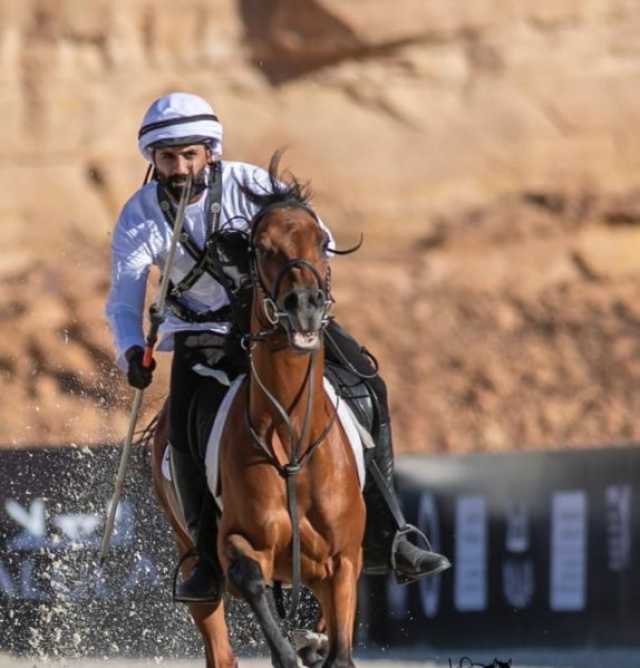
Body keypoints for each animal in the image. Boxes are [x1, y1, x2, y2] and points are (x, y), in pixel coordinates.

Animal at [151, 168, 364, 668]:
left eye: (321, 241)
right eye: (261, 247)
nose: (304, 304)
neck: (292, 438)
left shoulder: (345, 559)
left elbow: (341, 651)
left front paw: (314, 645)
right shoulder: (242, 543)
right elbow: (248, 576)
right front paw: (291, 651)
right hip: (190, 553)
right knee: (219, 644)